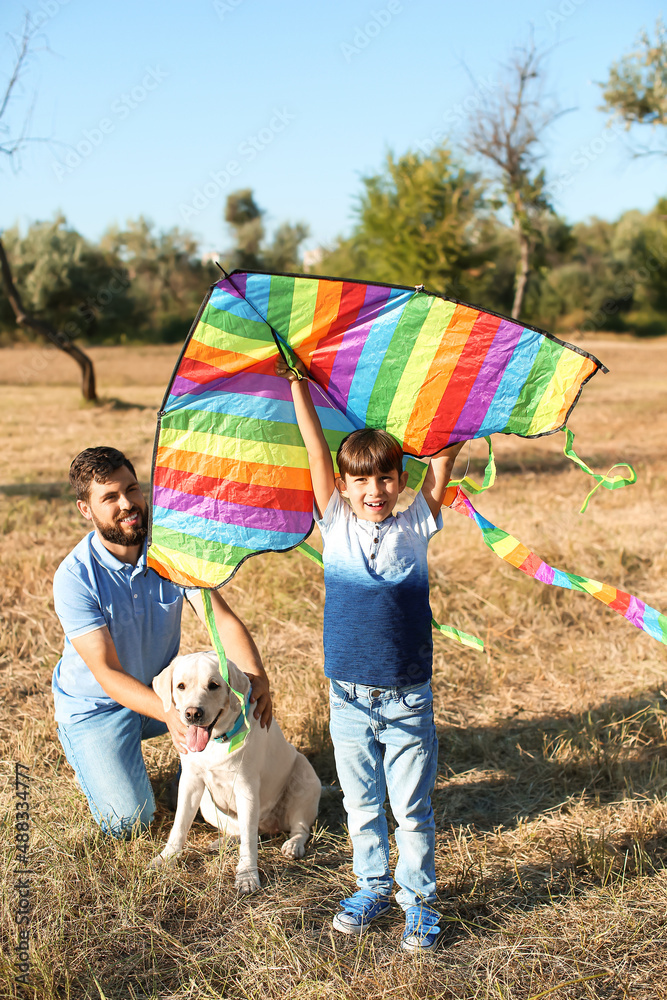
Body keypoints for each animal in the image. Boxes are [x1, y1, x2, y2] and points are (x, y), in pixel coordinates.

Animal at [151, 652, 320, 896]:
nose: (193, 713)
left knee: (299, 828)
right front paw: (166, 858)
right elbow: (179, 825)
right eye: (181, 686)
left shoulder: (246, 789)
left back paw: (293, 845)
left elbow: (249, 843)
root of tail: (269, 826)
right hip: (207, 804)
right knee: (242, 832)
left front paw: (247, 876)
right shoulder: (190, 783)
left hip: (304, 776)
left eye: (214, 685)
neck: (216, 741)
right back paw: (221, 843)